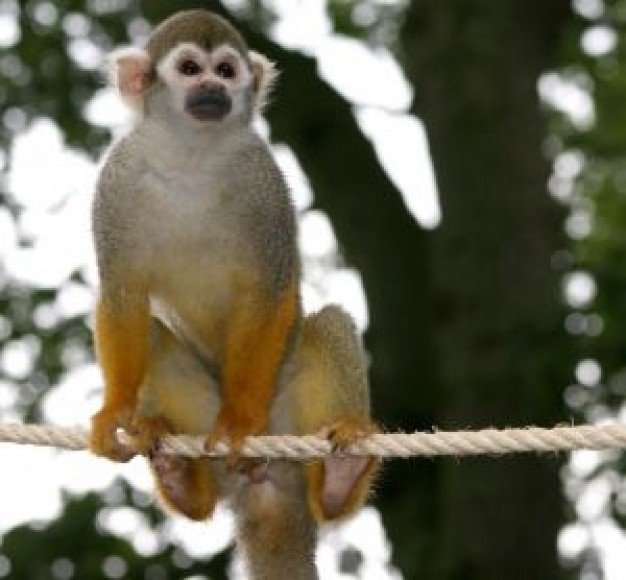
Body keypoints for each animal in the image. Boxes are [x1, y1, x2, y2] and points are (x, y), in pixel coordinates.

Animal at [89, 10, 378, 580]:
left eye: (225, 70)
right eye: (189, 69)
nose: (211, 89)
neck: (191, 156)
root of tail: (266, 490)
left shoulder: (264, 181)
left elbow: (269, 290)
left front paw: (243, 419)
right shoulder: (116, 182)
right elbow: (123, 296)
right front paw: (115, 410)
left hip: (284, 416)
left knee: (327, 323)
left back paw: (339, 479)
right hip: (203, 415)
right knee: (155, 337)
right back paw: (182, 479)